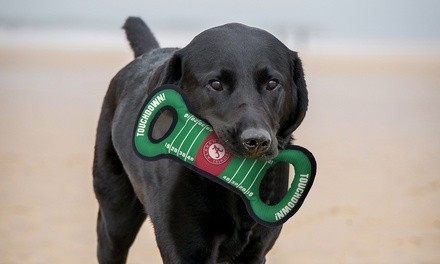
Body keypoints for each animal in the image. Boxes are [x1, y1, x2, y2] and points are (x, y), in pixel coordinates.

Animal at [93, 17, 306, 262]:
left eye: (272, 83)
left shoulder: (256, 250)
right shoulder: (185, 249)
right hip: (115, 216)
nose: (257, 141)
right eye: (216, 84)